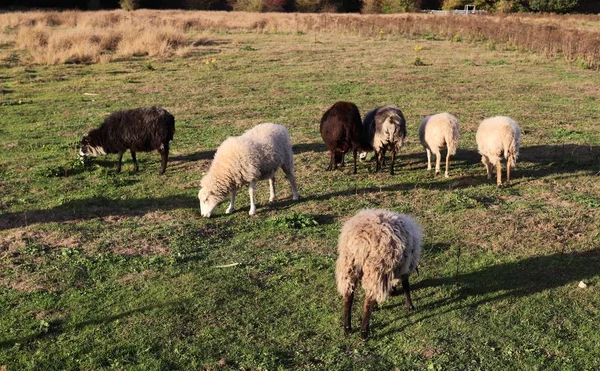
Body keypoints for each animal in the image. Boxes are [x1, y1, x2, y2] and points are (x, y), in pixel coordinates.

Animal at [336, 209, 424, 340]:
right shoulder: (405, 267)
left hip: (349, 265)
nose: (393, 292)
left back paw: (347, 328)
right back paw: (364, 333)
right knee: (367, 302)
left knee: (348, 296)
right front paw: (410, 306)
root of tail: (361, 241)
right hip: (376, 268)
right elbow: (406, 285)